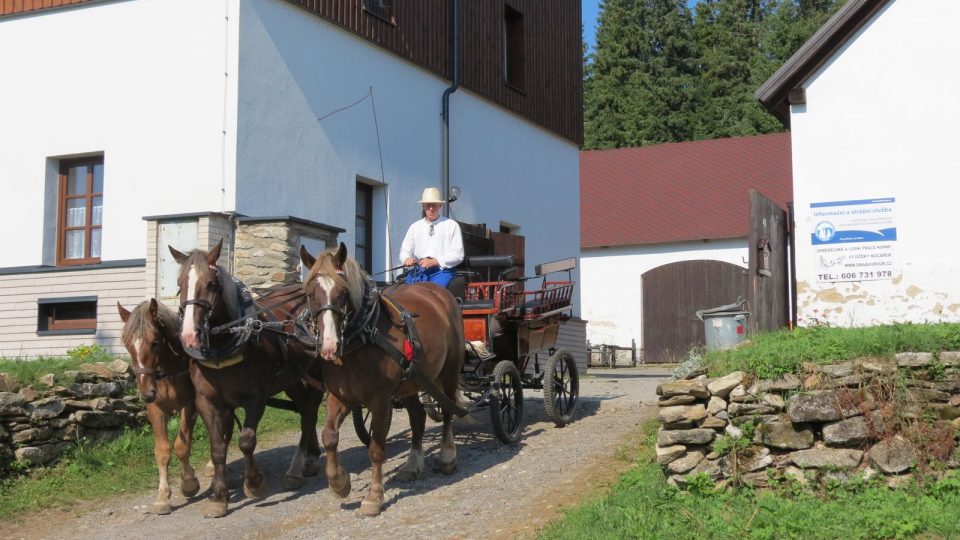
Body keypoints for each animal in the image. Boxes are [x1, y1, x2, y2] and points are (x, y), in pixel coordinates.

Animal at [171, 242, 324, 520]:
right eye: (180, 283)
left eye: (211, 284)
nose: (188, 335)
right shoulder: (208, 402)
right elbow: (218, 448)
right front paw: (219, 498)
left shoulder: (256, 398)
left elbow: (246, 440)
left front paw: (254, 483)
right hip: (293, 381)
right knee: (305, 411)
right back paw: (311, 457)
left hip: (315, 377)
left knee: (309, 416)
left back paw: (297, 469)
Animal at [300, 243, 464, 516]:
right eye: (310, 293)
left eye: (342, 293)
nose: (329, 346)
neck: (362, 337)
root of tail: (442, 295)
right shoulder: (339, 396)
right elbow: (329, 436)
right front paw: (339, 483)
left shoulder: (380, 401)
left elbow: (376, 449)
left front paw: (373, 497)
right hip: (412, 381)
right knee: (418, 417)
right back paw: (412, 464)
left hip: (449, 371)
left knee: (449, 409)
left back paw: (448, 456)